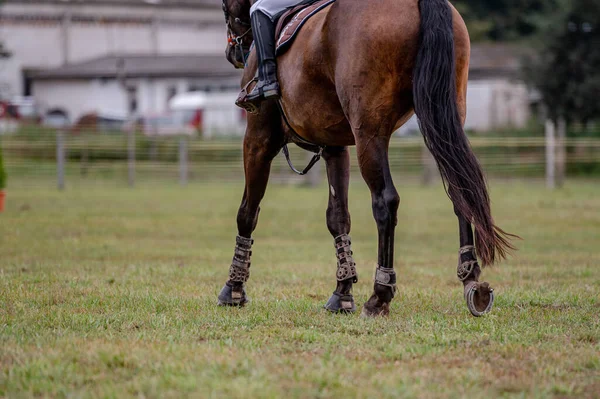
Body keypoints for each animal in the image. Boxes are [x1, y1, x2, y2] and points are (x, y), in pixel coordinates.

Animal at [219, 0, 516, 318]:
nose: (232, 53)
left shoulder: (258, 140)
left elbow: (247, 212)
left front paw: (233, 289)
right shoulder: (335, 147)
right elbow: (338, 217)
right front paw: (342, 293)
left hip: (370, 134)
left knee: (386, 201)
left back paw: (380, 294)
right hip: (443, 117)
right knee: (461, 190)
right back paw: (472, 281)